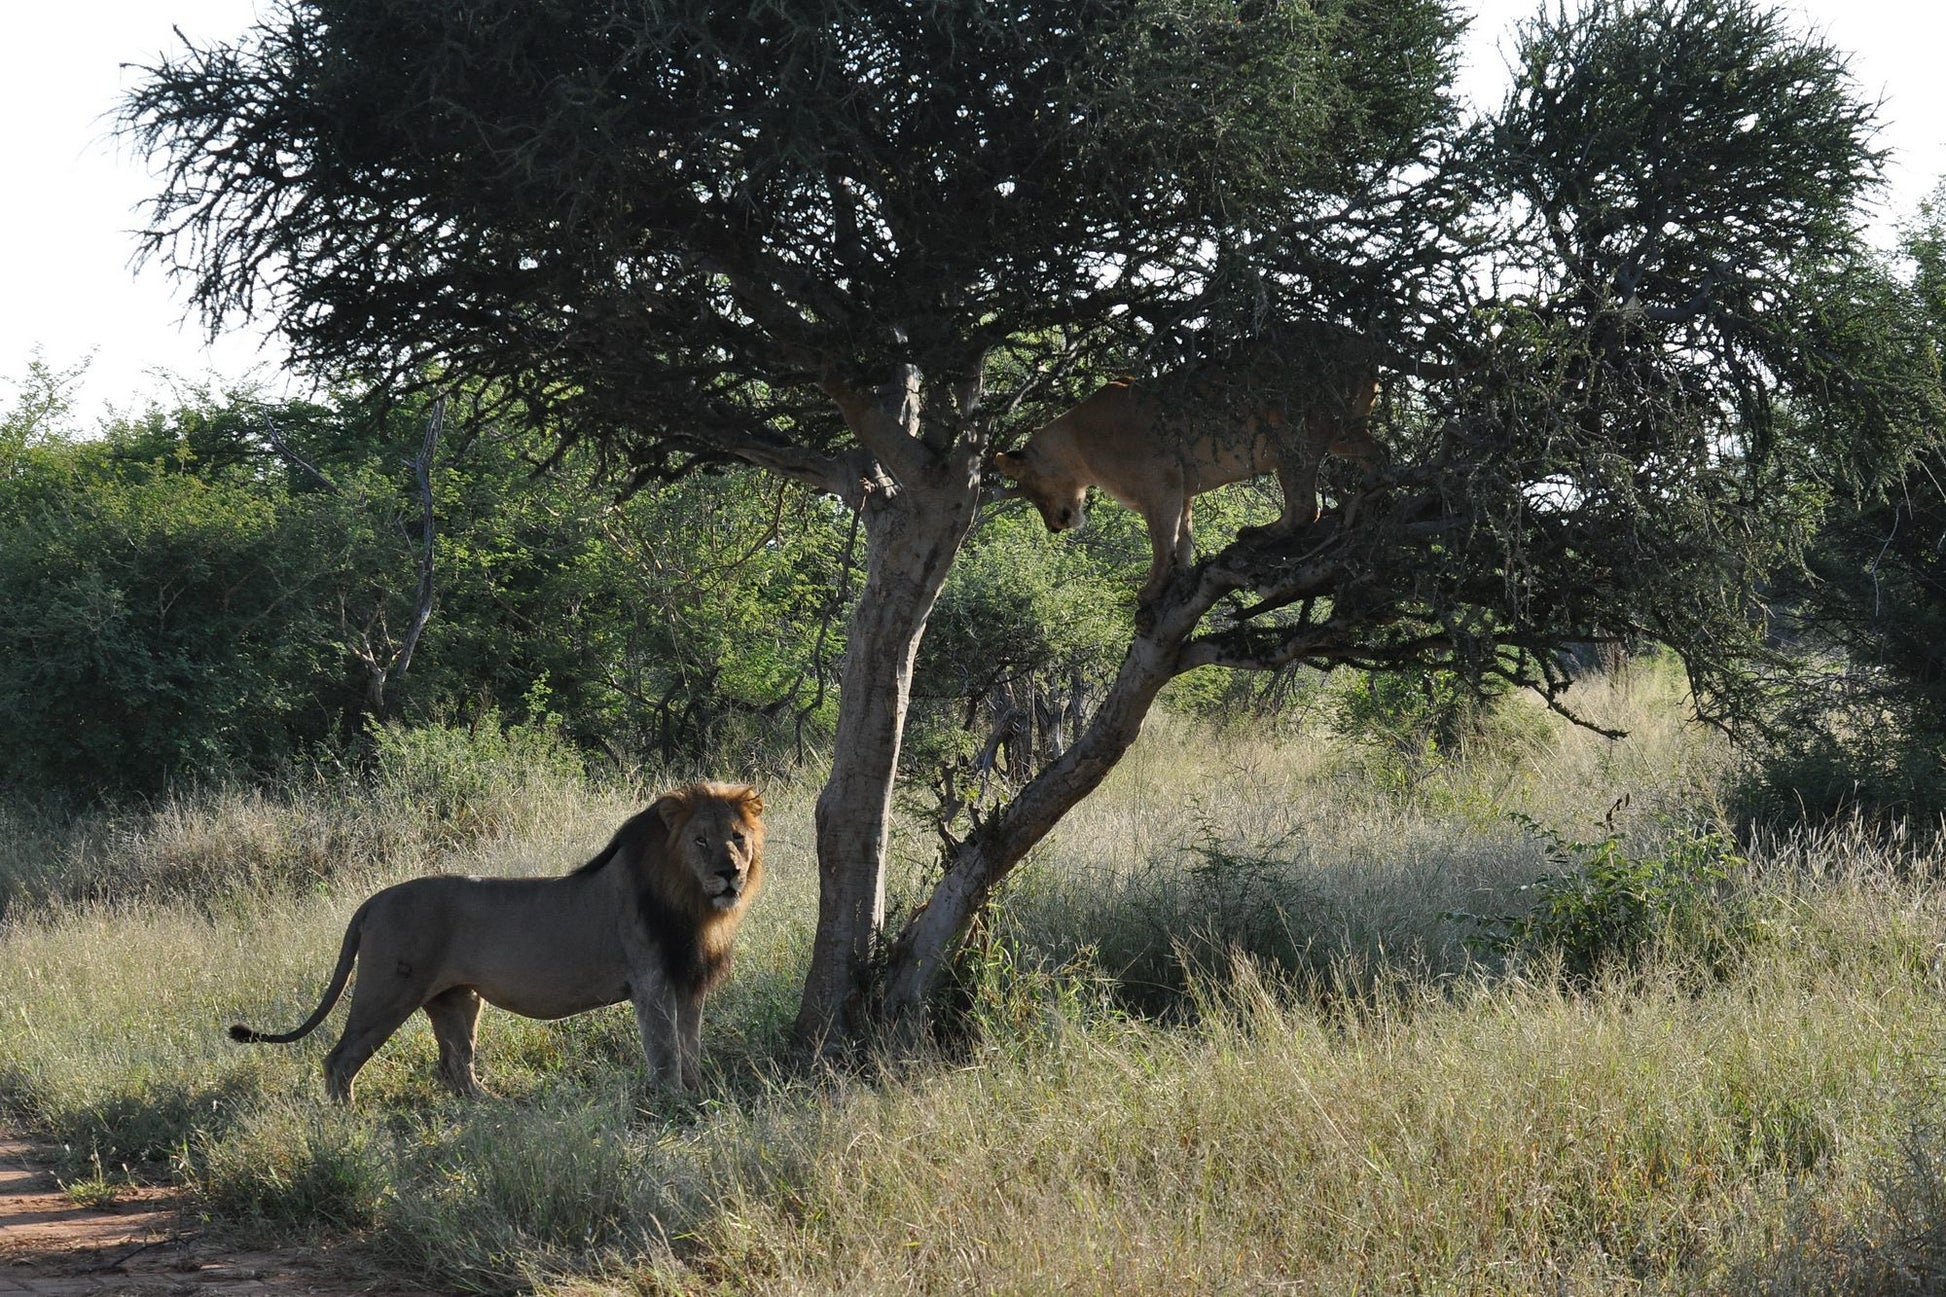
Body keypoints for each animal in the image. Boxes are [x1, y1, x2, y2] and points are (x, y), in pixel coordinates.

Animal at [231, 782, 762, 1098]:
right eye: (700, 840)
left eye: (737, 836)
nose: (729, 873)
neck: (691, 901)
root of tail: (372, 901)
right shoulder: (650, 982)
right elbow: (664, 1050)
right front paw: (671, 1102)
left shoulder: (688, 981)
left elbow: (690, 1044)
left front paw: (697, 1094)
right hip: (386, 992)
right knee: (339, 1059)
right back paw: (345, 1128)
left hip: (455, 999)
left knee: (454, 1065)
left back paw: (487, 1106)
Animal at [988, 333, 1385, 599]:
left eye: (1032, 492)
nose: (1053, 527)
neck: (1077, 444)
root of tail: (1363, 344)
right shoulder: (1181, 485)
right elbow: (1183, 535)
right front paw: (1181, 574)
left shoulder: (1160, 481)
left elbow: (1161, 539)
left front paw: (1151, 588)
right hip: (1341, 433)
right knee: (1379, 453)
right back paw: (1373, 493)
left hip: (1295, 436)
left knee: (1305, 508)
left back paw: (1259, 533)